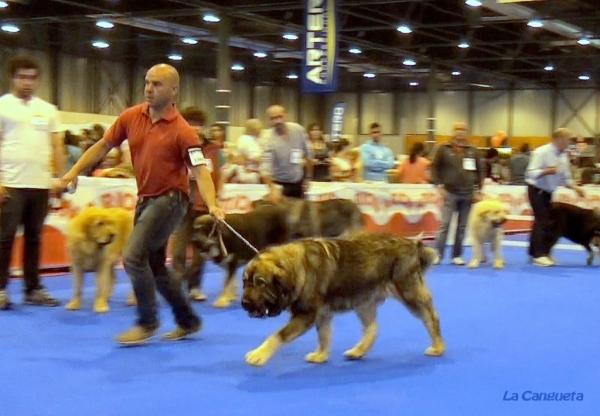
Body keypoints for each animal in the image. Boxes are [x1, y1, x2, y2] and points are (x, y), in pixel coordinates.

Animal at [240, 234, 446, 368]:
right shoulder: (322, 314)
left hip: (409, 293)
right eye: (245, 281)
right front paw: (321, 355)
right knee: (372, 328)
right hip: (364, 300)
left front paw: (259, 354)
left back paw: (438, 347)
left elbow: (277, 335)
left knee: (431, 317)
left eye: (260, 283)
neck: (298, 268)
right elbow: (324, 335)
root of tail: (412, 244)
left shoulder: (306, 315)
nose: (244, 303)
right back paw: (358, 351)